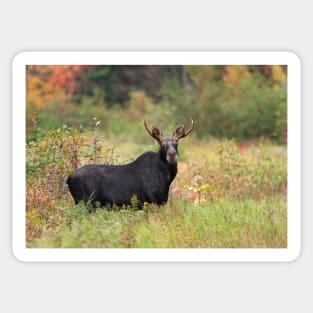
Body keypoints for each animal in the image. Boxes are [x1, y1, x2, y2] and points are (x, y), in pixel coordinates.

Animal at [66, 118, 194, 208]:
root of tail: (69, 178)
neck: (166, 179)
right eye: (162, 145)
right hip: (86, 201)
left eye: (176, 144)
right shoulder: (150, 200)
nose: (172, 155)